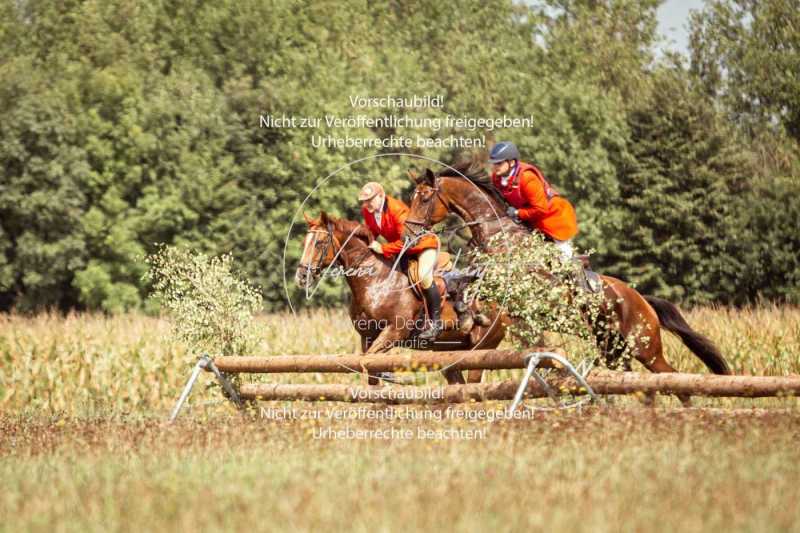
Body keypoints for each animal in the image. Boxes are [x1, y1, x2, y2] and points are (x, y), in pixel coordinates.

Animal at [296, 210, 510, 384]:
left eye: (319, 243)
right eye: (304, 243)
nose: (301, 276)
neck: (376, 280)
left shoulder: (394, 332)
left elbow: (370, 360)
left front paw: (390, 376)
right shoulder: (367, 336)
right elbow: (369, 369)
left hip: (481, 349)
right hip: (448, 352)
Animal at [404, 162, 736, 382]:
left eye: (424, 198)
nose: (410, 233)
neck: (497, 232)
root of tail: (643, 300)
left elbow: (478, 282)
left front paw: (468, 314)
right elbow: (463, 281)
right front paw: (462, 313)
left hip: (646, 347)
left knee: (670, 377)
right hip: (613, 350)